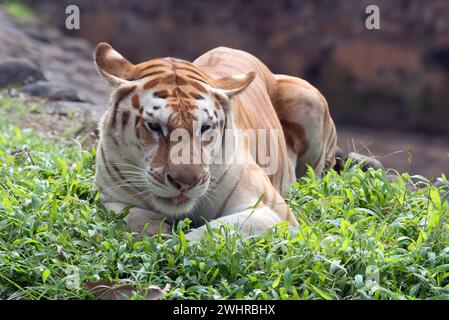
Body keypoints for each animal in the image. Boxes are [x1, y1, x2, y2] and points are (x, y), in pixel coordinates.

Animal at [93, 42, 334, 240]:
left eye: (205, 128)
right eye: (154, 126)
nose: (185, 183)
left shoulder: (272, 211)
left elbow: (208, 234)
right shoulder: (113, 199)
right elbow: (135, 218)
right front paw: (156, 232)